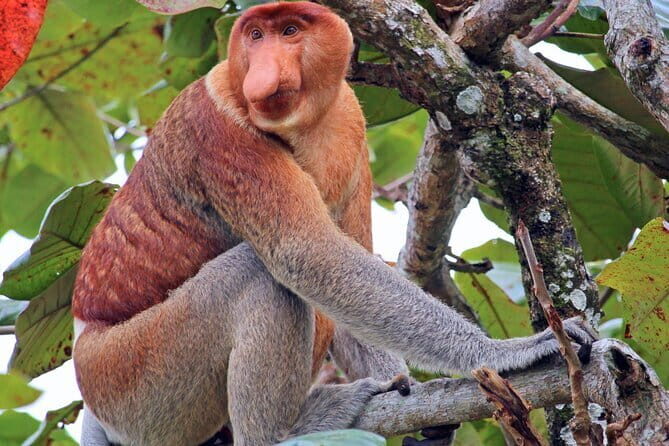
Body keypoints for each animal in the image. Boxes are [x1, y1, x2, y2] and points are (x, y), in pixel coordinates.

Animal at [70, 2, 596, 445]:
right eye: (256, 35)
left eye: (290, 31)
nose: (262, 74)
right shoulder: (220, 130)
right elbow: (309, 253)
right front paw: (512, 351)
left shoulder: (348, 119)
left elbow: (348, 254)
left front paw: (402, 386)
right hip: (134, 379)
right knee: (258, 275)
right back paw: (282, 431)